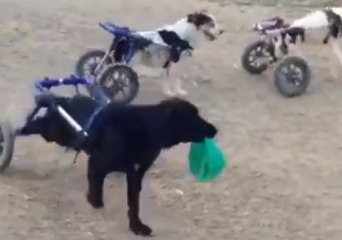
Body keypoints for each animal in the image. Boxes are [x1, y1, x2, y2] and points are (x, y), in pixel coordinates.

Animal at [19, 94, 216, 235]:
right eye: (193, 117)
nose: (215, 129)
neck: (148, 127)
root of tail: (64, 100)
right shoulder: (97, 164)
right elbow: (96, 194)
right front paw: (94, 203)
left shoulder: (136, 173)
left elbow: (133, 203)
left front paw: (137, 226)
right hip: (53, 132)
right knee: (31, 125)